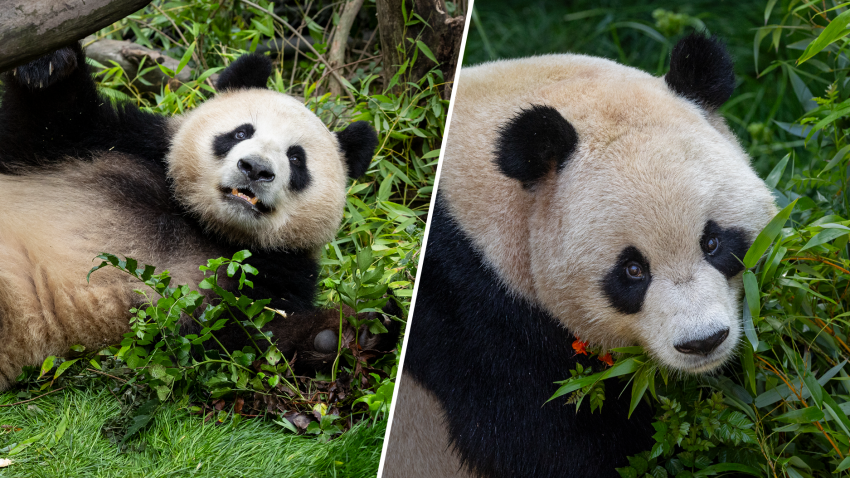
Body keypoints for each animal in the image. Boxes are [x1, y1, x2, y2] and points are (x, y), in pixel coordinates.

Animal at [0, 43, 398, 390]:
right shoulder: (118, 145)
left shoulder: (277, 268)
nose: (255, 169)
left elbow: (236, 340)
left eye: (296, 158)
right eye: (241, 132)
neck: (206, 224)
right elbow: (44, 128)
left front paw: (349, 332)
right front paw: (48, 63)